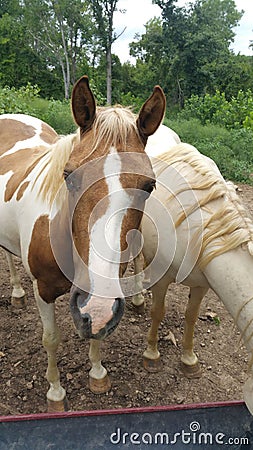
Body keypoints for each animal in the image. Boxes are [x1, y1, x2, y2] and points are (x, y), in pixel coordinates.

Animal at [0, 76, 166, 412]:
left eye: (149, 185)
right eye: (69, 176)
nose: (96, 303)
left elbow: (97, 332)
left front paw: (98, 374)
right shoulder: (43, 290)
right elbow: (51, 339)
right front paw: (55, 393)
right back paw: (17, 293)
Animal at [131, 140, 253, 414]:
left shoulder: (201, 285)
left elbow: (192, 317)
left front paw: (189, 360)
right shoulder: (163, 277)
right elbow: (158, 312)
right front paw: (151, 356)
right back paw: (137, 299)